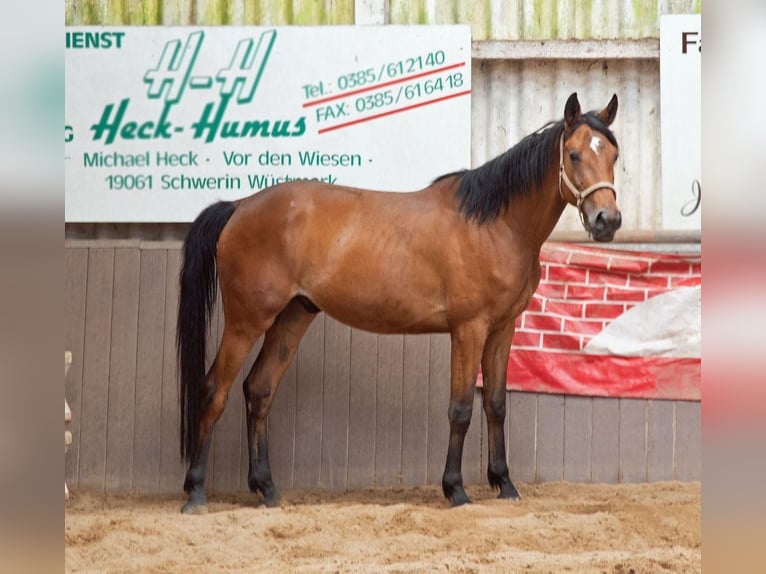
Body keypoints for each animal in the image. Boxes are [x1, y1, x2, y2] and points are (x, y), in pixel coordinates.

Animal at [177, 92, 620, 516]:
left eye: (614, 155)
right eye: (574, 154)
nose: (607, 220)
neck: (495, 225)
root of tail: (239, 206)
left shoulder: (502, 328)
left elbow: (495, 405)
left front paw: (505, 485)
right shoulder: (469, 329)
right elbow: (461, 408)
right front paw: (456, 490)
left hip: (292, 317)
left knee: (260, 389)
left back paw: (266, 489)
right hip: (246, 322)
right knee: (215, 390)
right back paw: (195, 492)